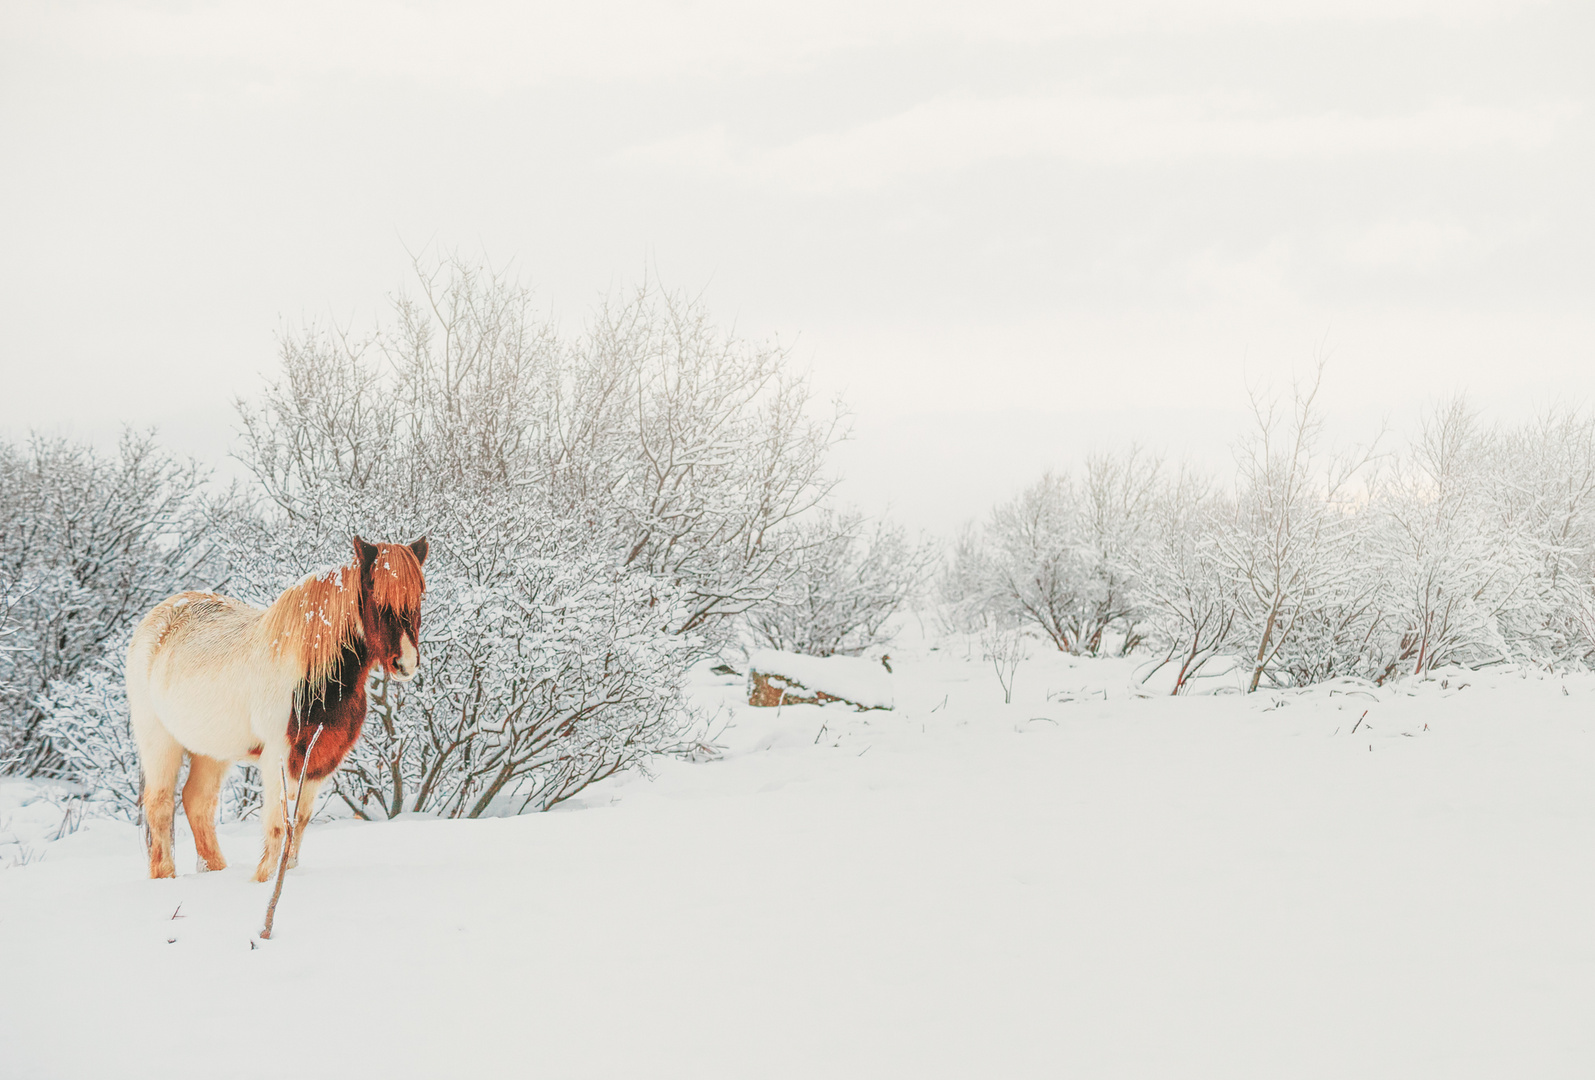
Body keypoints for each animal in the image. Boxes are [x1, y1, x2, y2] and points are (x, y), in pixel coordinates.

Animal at [125, 536, 427, 880]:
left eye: (419, 594)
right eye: (375, 594)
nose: (405, 663)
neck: (313, 675)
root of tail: (157, 619)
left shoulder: (320, 759)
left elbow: (300, 822)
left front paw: (287, 875)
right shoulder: (279, 757)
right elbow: (277, 824)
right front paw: (264, 879)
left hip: (211, 750)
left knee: (197, 801)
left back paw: (216, 870)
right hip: (159, 741)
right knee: (159, 805)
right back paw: (165, 875)